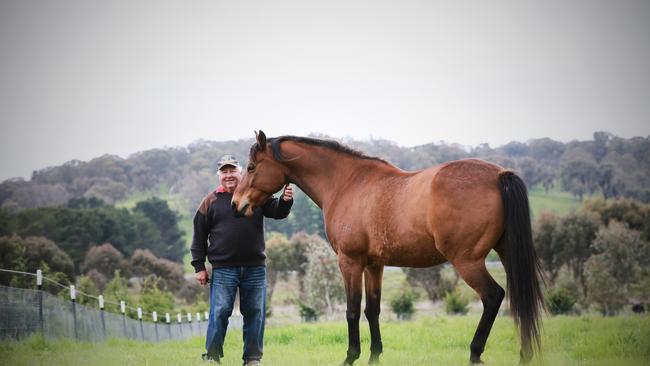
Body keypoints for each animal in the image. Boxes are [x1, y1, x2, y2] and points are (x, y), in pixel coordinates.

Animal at [230, 130, 544, 364]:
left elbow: (352, 310)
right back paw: (525, 355)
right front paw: (374, 356)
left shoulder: (350, 262)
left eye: (252, 167)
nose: (236, 205)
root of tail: (500, 174)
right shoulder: (374, 264)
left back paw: (475, 354)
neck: (348, 183)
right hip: (505, 254)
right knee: (518, 298)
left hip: (467, 261)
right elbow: (373, 310)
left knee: (493, 296)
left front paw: (350, 357)